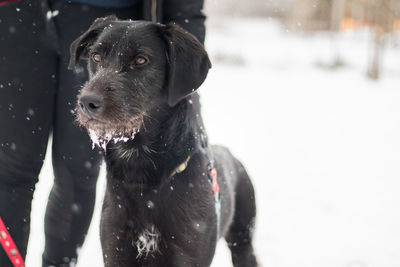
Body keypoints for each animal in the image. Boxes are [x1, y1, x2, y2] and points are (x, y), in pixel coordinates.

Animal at [68, 16, 258, 267]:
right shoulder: (116, 249)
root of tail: (227, 152)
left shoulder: (189, 254)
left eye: (140, 60)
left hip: (243, 240)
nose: (87, 102)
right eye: (96, 56)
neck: (140, 168)